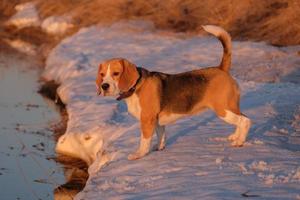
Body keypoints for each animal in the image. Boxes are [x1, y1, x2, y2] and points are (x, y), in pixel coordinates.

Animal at [95, 25, 251, 160]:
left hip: (223, 109)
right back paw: (235, 137)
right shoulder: (157, 121)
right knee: (241, 118)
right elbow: (161, 135)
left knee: (245, 120)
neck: (136, 86)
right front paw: (159, 148)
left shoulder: (147, 120)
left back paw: (239, 142)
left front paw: (139, 154)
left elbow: (144, 141)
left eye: (116, 73)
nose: (104, 86)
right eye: (102, 74)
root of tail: (221, 69)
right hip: (230, 107)